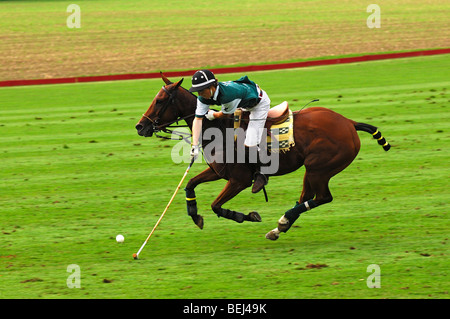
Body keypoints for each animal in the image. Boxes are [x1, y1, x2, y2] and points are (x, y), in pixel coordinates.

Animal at [134, 74, 390, 241]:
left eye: (159, 101)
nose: (140, 127)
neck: (218, 129)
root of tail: (348, 122)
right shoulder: (218, 172)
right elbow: (190, 184)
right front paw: (195, 214)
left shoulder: (239, 180)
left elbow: (216, 205)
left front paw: (246, 215)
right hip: (312, 170)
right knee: (307, 196)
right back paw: (280, 226)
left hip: (320, 167)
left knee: (322, 197)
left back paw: (283, 220)